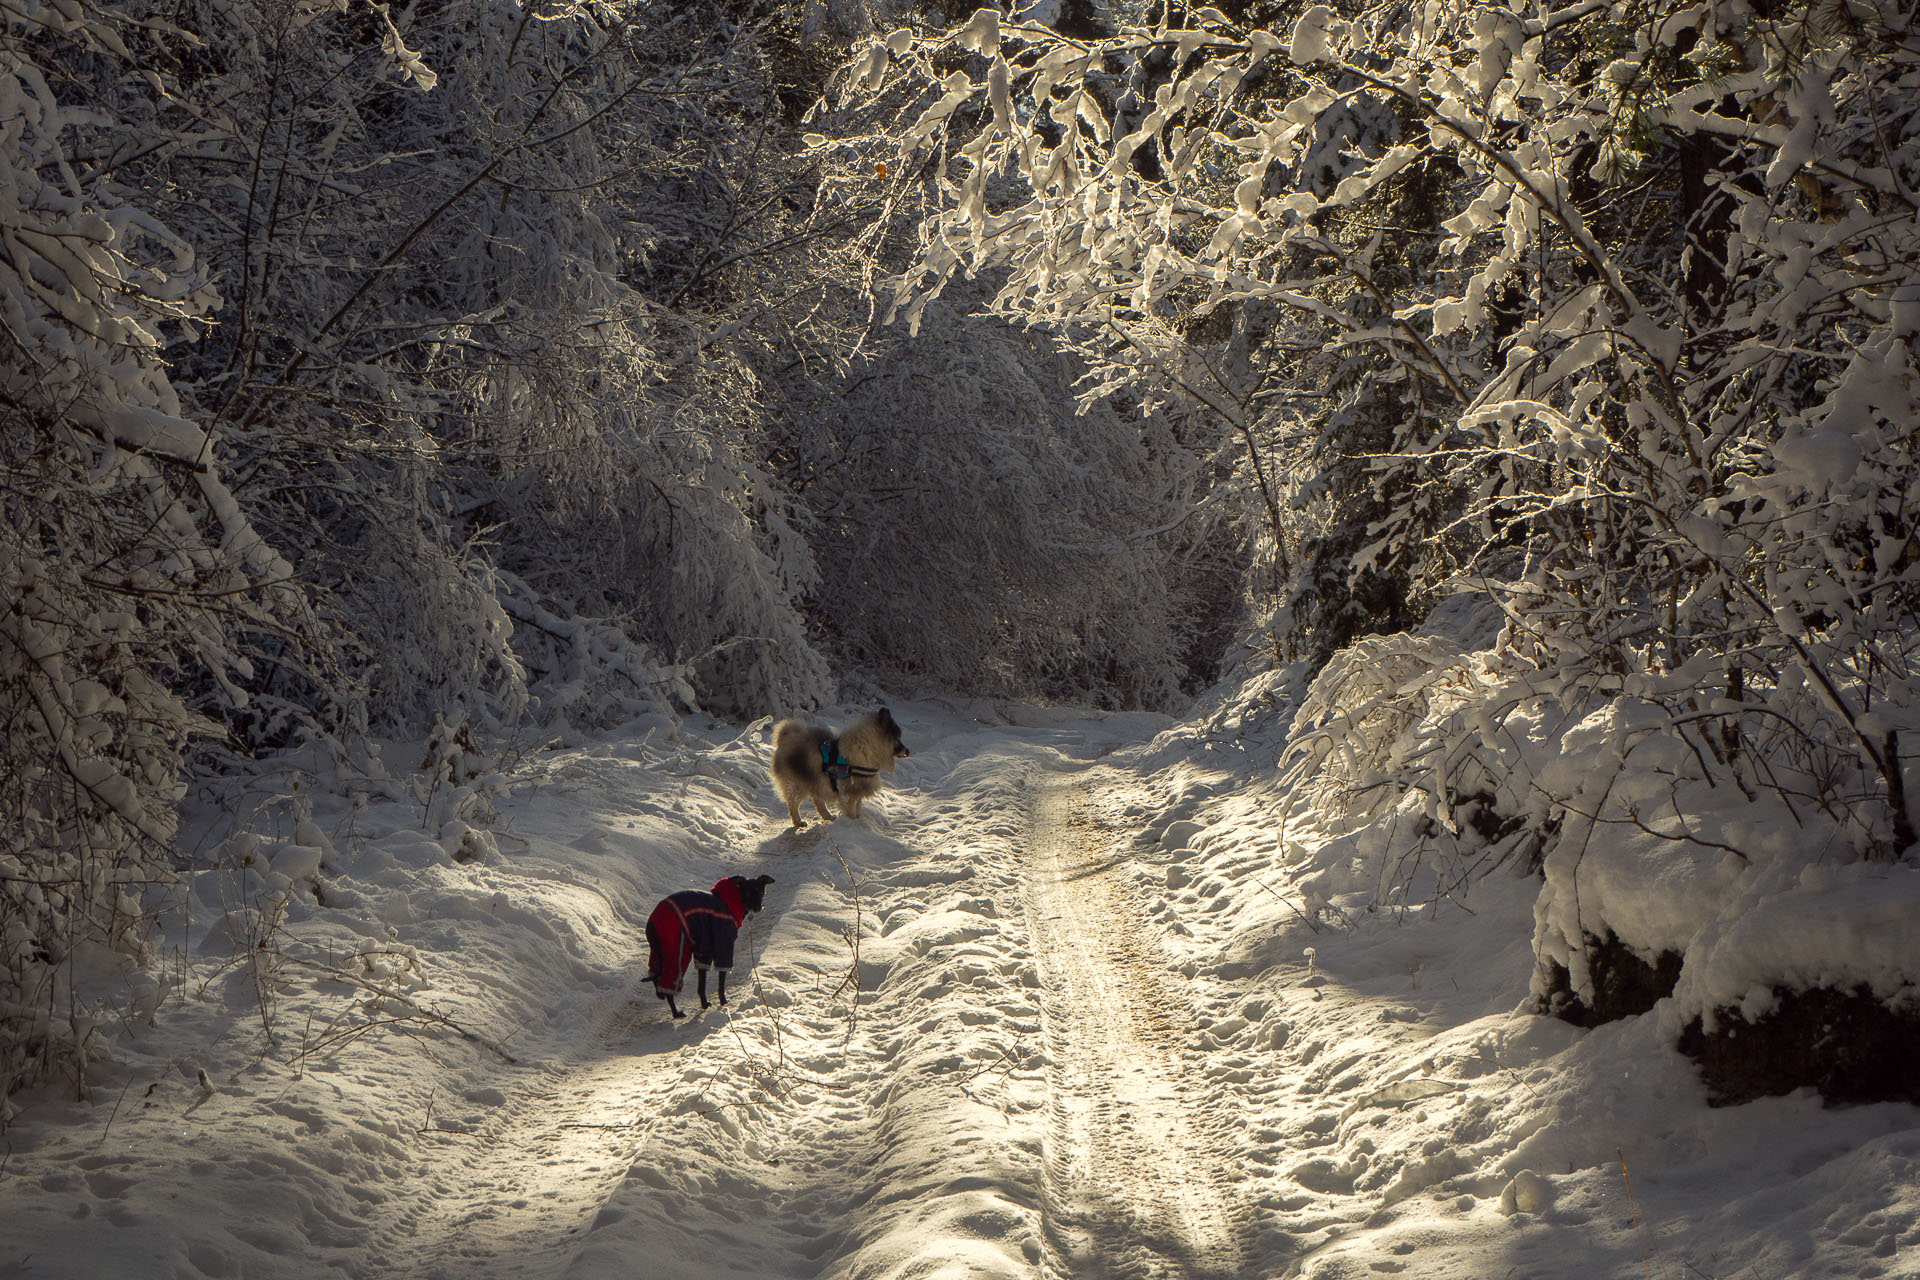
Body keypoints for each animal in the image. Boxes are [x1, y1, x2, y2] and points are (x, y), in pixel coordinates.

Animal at [641, 871, 768, 1020]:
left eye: (761, 891)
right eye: (747, 892)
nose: (758, 908)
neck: (730, 901)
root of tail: (652, 922)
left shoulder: (704, 950)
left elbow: (701, 984)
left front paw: (704, 1004)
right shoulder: (723, 945)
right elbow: (721, 981)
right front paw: (724, 1002)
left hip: (659, 952)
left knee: (656, 977)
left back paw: (662, 996)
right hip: (677, 950)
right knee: (668, 981)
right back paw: (676, 1013)